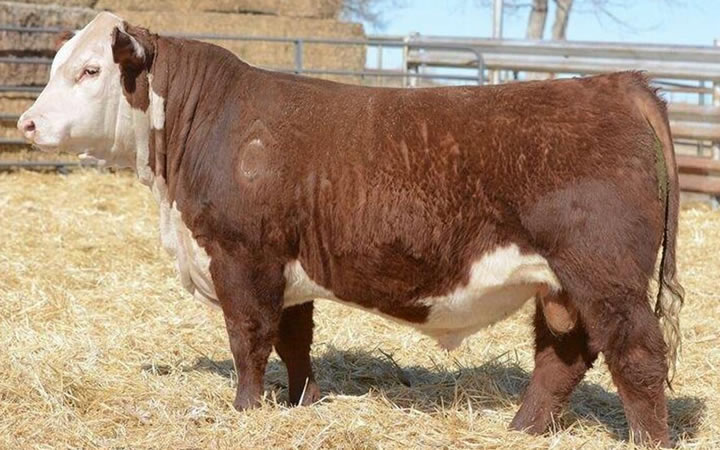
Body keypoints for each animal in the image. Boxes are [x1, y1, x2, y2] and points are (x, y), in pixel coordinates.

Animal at [18, 13, 684, 446]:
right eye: (57, 65)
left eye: (90, 70)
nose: (26, 123)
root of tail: (618, 84)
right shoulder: (288, 268)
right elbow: (294, 342)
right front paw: (302, 403)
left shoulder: (243, 258)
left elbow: (248, 341)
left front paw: (246, 411)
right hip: (563, 285)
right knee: (562, 356)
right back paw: (519, 430)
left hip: (605, 275)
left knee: (638, 355)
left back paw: (647, 441)